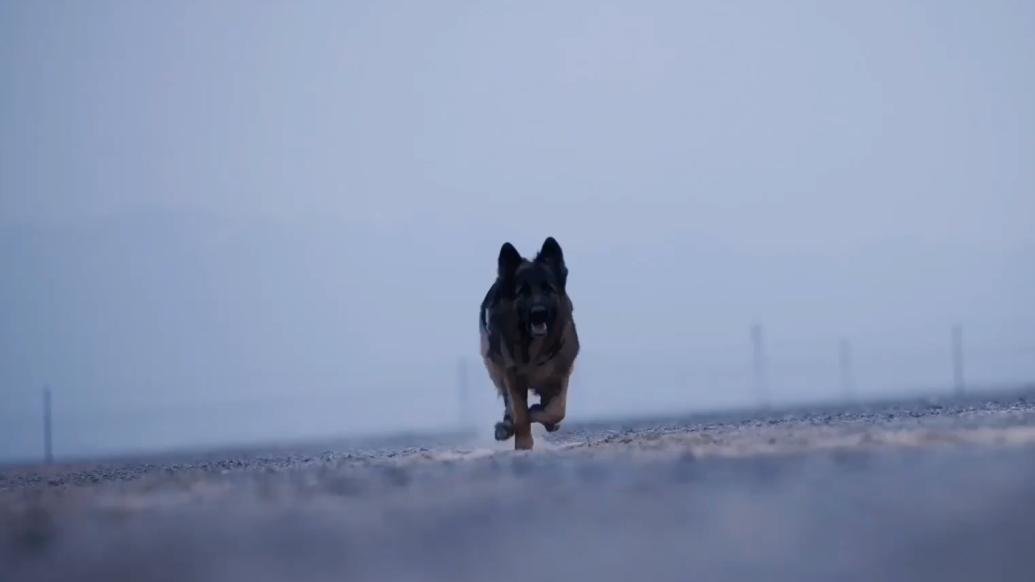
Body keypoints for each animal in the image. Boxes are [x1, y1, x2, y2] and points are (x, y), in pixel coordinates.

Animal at [478, 236, 579, 449]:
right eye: (523, 292)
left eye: (548, 288)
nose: (538, 313)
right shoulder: (511, 376)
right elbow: (521, 414)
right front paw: (523, 443)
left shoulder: (560, 373)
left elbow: (557, 410)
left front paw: (539, 413)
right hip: (496, 369)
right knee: (509, 405)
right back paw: (506, 427)